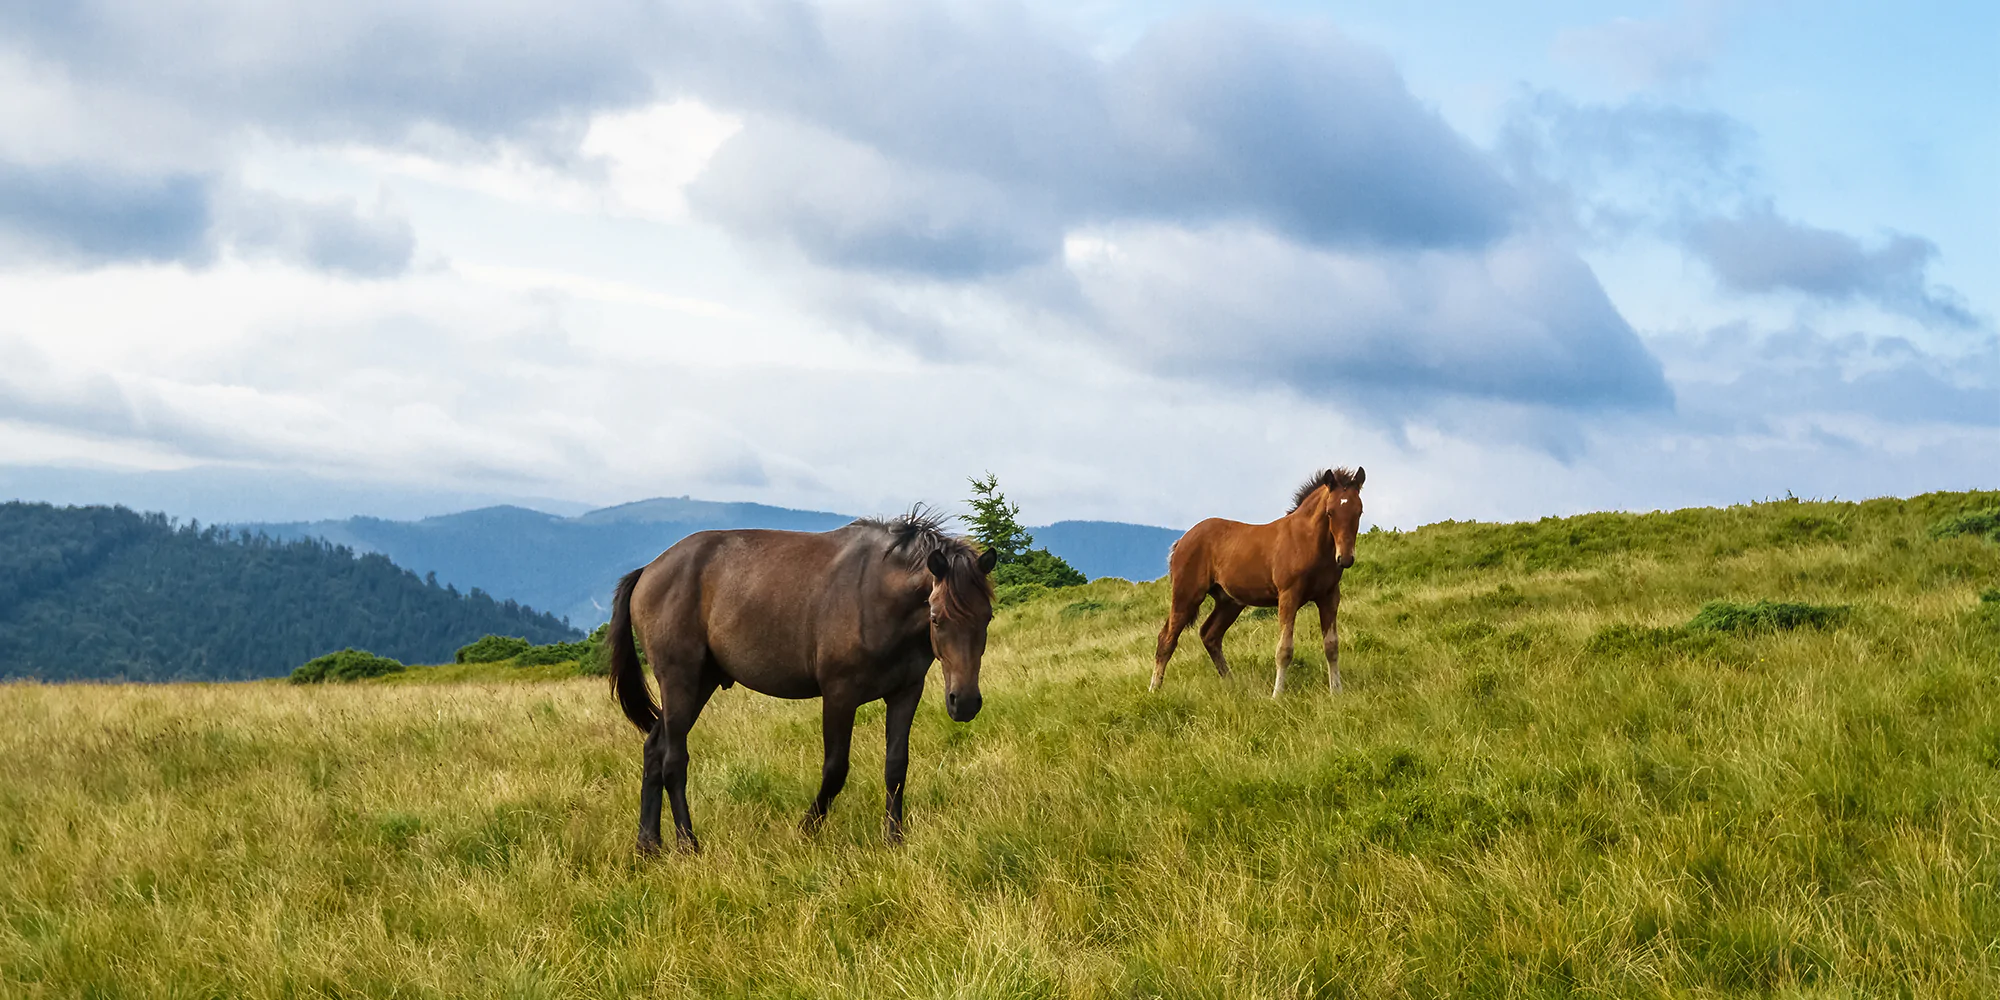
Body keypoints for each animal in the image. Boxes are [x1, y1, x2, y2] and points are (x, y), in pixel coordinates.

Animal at [606, 509, 998, 854]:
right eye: (936, 617)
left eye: (988, 617)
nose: (965, 702)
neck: (875, 596)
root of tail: (647, 571)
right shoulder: (839, 695)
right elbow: (835, 770)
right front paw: (807, 829)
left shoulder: (905, 693)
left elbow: (896, 767)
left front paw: (894, 839)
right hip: (679, 680)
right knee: (673, 760)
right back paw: (688, 844)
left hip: (700, 684)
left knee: (654, 750)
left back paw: (648, 845)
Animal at [1152, 467, 1365, 697]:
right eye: (1330, 512)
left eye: (1359, 512)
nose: (1345, 558)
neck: (1307, 542)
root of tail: (1182, 541)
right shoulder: (1288, 596)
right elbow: (1284, 650)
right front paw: (1277, 695)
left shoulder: (1329, 596)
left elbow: (1331, 646)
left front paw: (1337, 693)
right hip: (1187, 594)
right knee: (1167, 638)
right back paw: (1154, 689)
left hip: (1229, 602)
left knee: (1210, 635)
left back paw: (1233, 684)